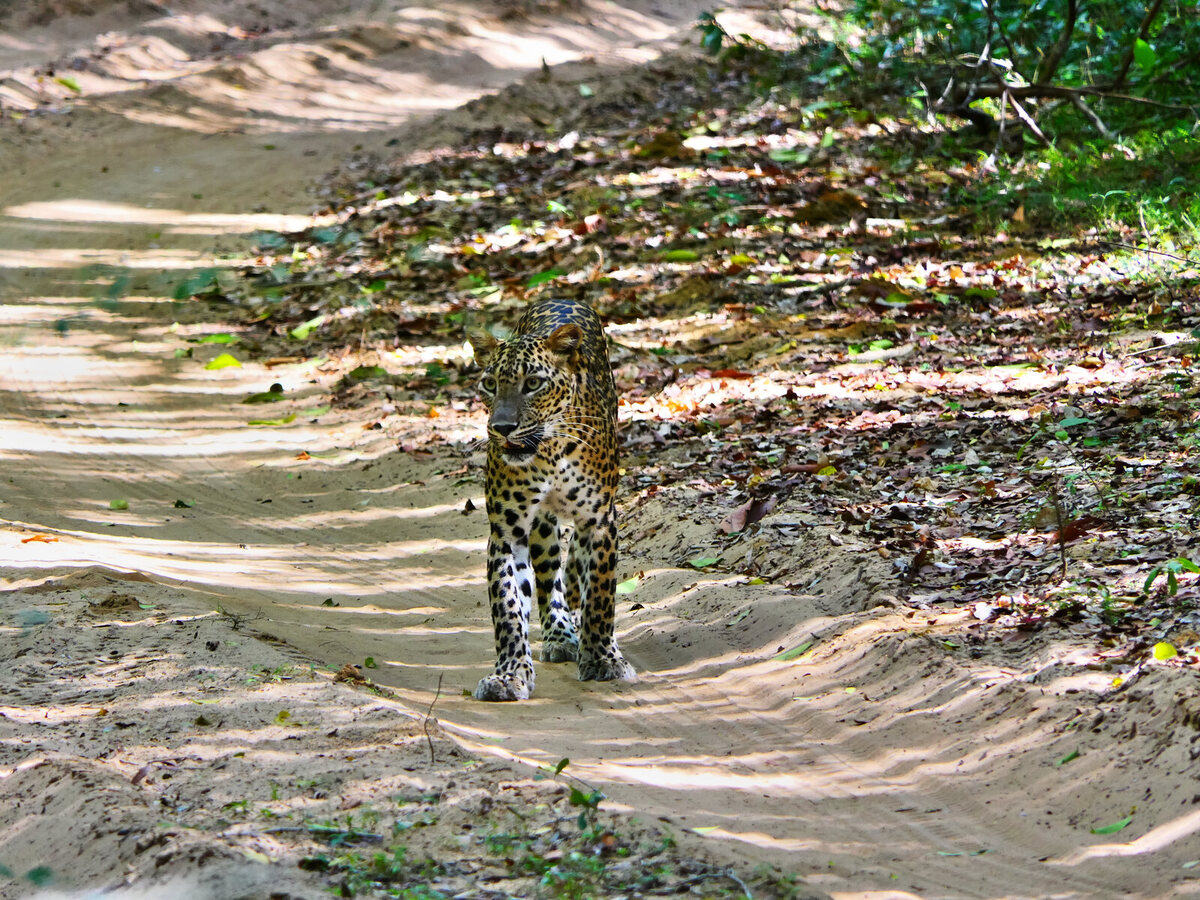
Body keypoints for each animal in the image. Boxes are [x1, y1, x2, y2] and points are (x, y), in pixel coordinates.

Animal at [470, 297, 636, 701]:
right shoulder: (506, 531)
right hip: (541, 527)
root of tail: (560, 299)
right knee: (548, 580)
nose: (502, 428)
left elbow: (600, 597)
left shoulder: (600, 521)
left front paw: (602, 659)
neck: (549, 451)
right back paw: (560, 633)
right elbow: (508, 608)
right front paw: (509, 674)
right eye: (489, 384)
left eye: (533, 383)